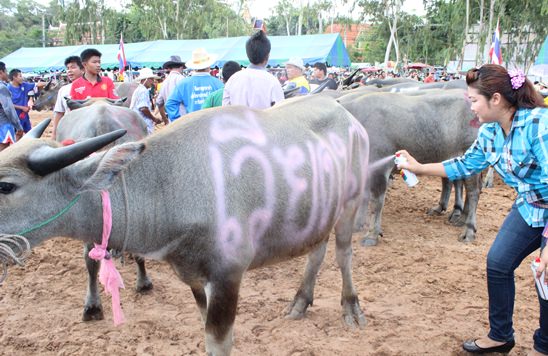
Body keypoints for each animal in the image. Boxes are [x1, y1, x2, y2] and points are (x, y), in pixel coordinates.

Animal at [2, 95, 370, 356]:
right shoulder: (193, 275)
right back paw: (300, 301)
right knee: (317, 251)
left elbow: (219, 343)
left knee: (343, 253)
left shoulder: (227, 277)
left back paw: (351, 307)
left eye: (6, 186)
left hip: (350, 205)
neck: (167, 185)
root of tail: (348, 116)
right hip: (318, 211)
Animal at [336, 87, 482, 246]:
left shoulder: (379, 169)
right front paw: (357, 225)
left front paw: (371, 235)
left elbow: (376, 203)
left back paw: (468, 230)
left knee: (473, 192)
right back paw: (460, 218)